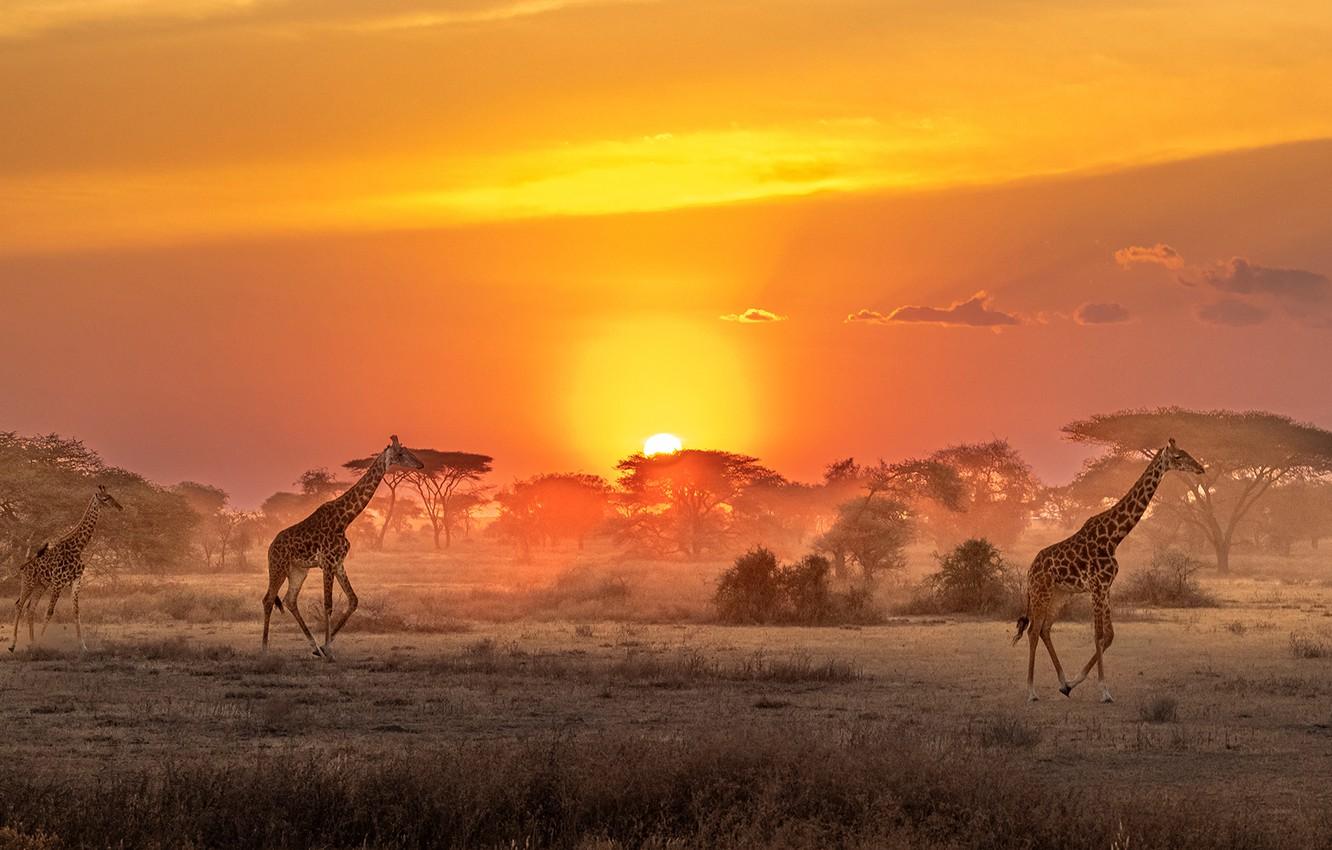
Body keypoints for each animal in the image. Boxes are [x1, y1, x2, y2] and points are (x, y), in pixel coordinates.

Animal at [9, 485, 123, 653]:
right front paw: (42, 641)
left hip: (41, 585)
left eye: (111, 496)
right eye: (106, 498)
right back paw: (13, 645)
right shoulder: (58, 582)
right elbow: (49, 612)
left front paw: (83, 646)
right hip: (28, 582)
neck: (78, 548)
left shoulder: (76, 581)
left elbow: (76, 612)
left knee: (30, 608)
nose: (120, 507)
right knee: (19, 605)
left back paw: (32, 643)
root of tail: (24, 566)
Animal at [262, 435, 423, 660]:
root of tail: (270, 546)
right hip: (278, 567)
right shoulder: (328, 564)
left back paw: (314, 647)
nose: (421, 465)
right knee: (268, 599)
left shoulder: (338, 563)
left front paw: (325, 647)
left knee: (290, 600)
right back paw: (264, 649)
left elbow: (353, 600)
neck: (345, 519)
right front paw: (329, 651)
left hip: (298, 570)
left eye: (408, 451)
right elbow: (328, 605)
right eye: (400, 453)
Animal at [1014, 439, 1205, 703]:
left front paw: (1072, 684)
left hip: (1060, 595)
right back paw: (1031, 692)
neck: (1114, 537)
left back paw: (1062, 681)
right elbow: (1098, 635)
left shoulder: (1105, 588)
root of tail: (1030, 569)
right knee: (1033, 631)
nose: (1200, 469)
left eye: (1186, 452)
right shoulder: (1096, 587)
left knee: (1045, 629)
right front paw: (1104, 691)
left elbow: (1110, 635)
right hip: (1041, 592)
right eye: (1177, 457)